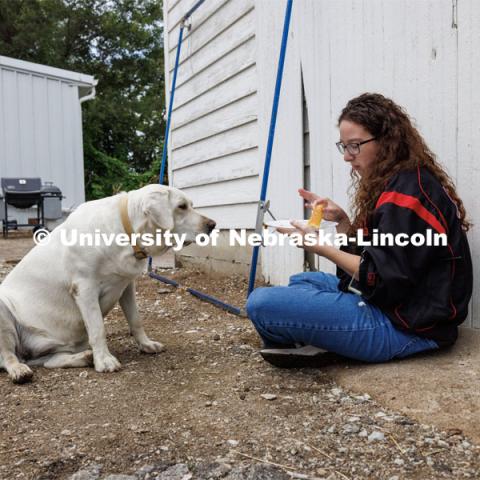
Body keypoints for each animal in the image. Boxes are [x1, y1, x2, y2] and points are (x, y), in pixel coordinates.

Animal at [0, 184, 215, 382]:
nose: (213, 224)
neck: (126, 232)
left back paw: (84, 357)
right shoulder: (85, 289)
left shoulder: (127, 285)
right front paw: (104, 360)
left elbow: (136, 320)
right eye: (182, 206)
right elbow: (98, 328)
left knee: (46, 361)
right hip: (4, 311)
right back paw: (20, 370)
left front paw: (146, 344)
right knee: (8, 357)